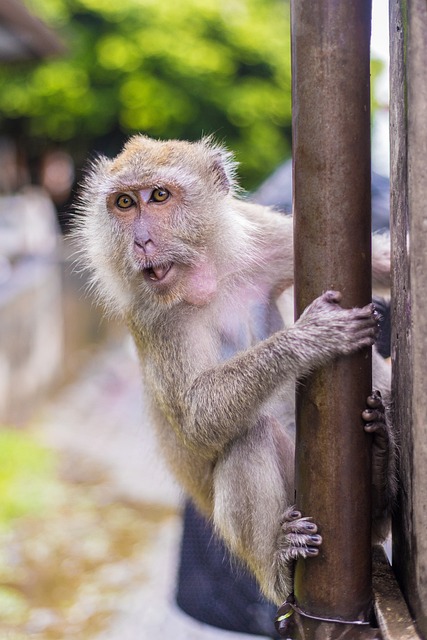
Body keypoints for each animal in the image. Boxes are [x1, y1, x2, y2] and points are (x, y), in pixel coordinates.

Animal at [74, 135, 398, 604]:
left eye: (159, 196)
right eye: (124, 203)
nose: (142, 242)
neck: (207, 278)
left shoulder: (262, 234)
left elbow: (381, 265)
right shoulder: (157, 318)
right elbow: (197, 419)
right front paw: (309, 338)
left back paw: (378, 465)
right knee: (249, 436)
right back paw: (281, 561)